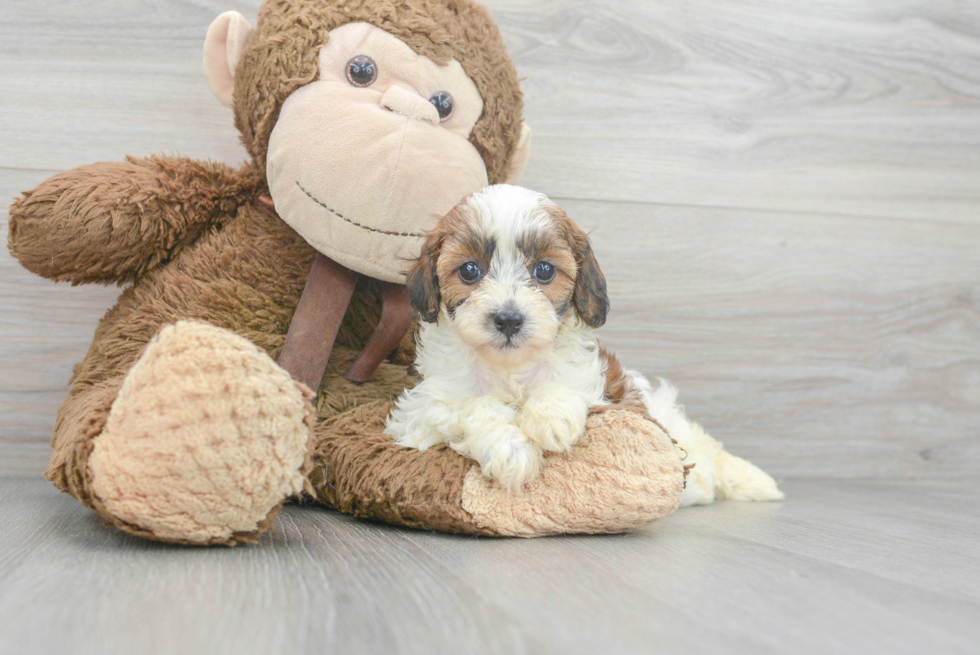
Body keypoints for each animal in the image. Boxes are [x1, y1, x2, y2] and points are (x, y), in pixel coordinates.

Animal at [384, 184, 608, 492]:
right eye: (469, 270)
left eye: (545, 270)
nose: (509, 319)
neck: (508, 366)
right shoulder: (417, 411)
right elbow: (473, 404)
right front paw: (511, 450)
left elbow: (563, 384)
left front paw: (552, 416)